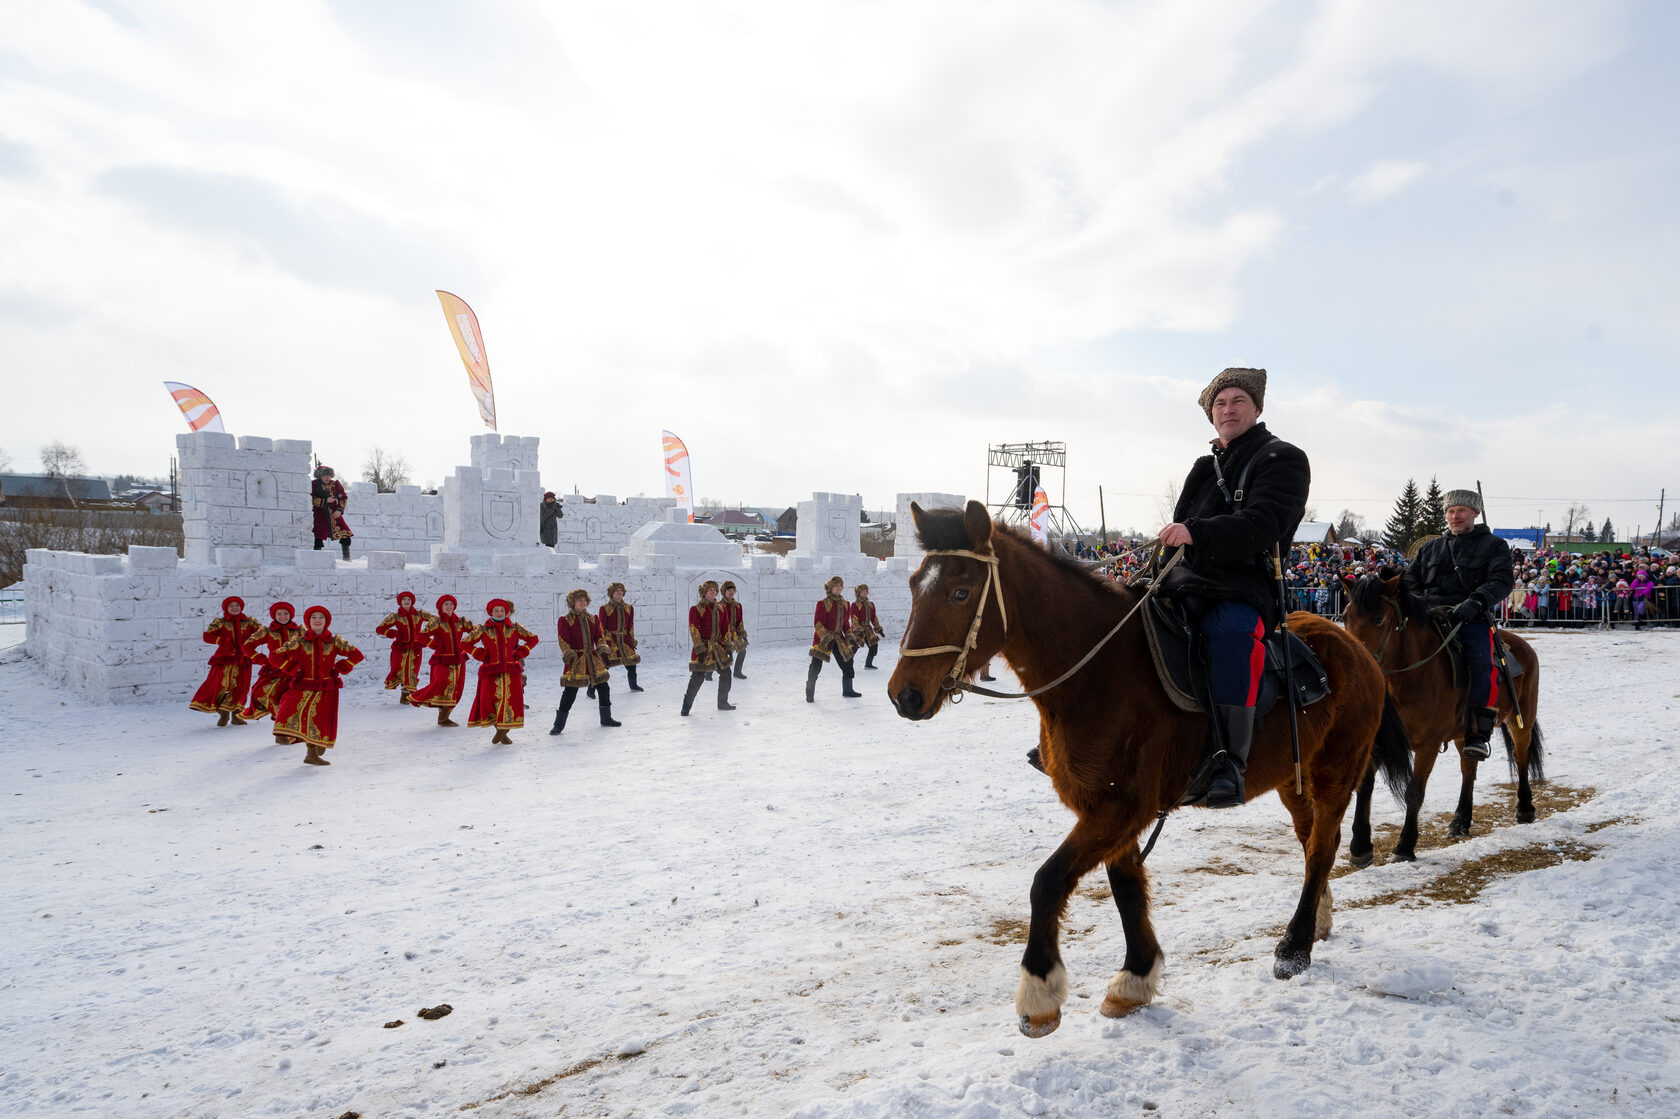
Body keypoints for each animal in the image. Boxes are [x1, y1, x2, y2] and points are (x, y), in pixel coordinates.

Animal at [887, 500, 1411, 1034]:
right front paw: (1135, 979)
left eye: (960, 592)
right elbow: (1126, 887)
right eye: (913, 585)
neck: (1100, 673)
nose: (904, 695)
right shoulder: (1107, 808)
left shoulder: (1121, 808)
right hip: (1294, 780)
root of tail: (1359, 651)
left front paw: (1039, 992)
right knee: (1311, 845)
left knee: (1323, 848)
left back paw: (1294, 947)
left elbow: (1048, 882)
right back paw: (1318, 920)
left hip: (1335, 773)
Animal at [1337, 567, 1545, 860]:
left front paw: (1404, 846)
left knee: (1521, 757)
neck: (1410, 675)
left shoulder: (1428, 744)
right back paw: (1460, 821)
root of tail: (1522, 645)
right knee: (1469, 770)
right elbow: (1364, 786)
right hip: (1465, 734)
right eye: (1345, 617)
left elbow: (1414, 792)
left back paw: (1525, 808)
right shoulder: (1379, 741)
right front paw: (1360, 846)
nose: (1356, 664)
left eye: (1378, 619)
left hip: (1521, 720)